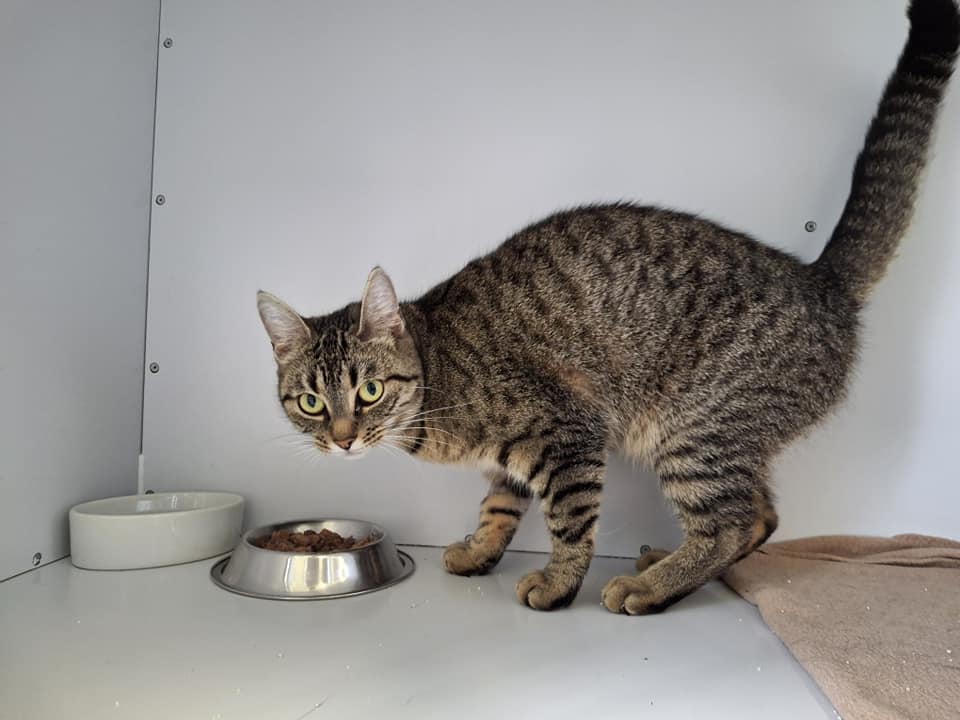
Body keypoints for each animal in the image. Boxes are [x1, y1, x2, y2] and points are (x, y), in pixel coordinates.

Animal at [257, 0, 959, 614]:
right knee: (761, 514)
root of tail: (819, 280)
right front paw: (481, 551)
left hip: (694, 429)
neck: (438, 381)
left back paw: (651, 587)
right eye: (312, 402)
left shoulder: (566, 433)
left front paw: (558, 582)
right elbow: (498, 506)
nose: (343, 439)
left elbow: (569, 519)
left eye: (369, 391)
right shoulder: (516, 457)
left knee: (729, 525)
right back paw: (666, 568)